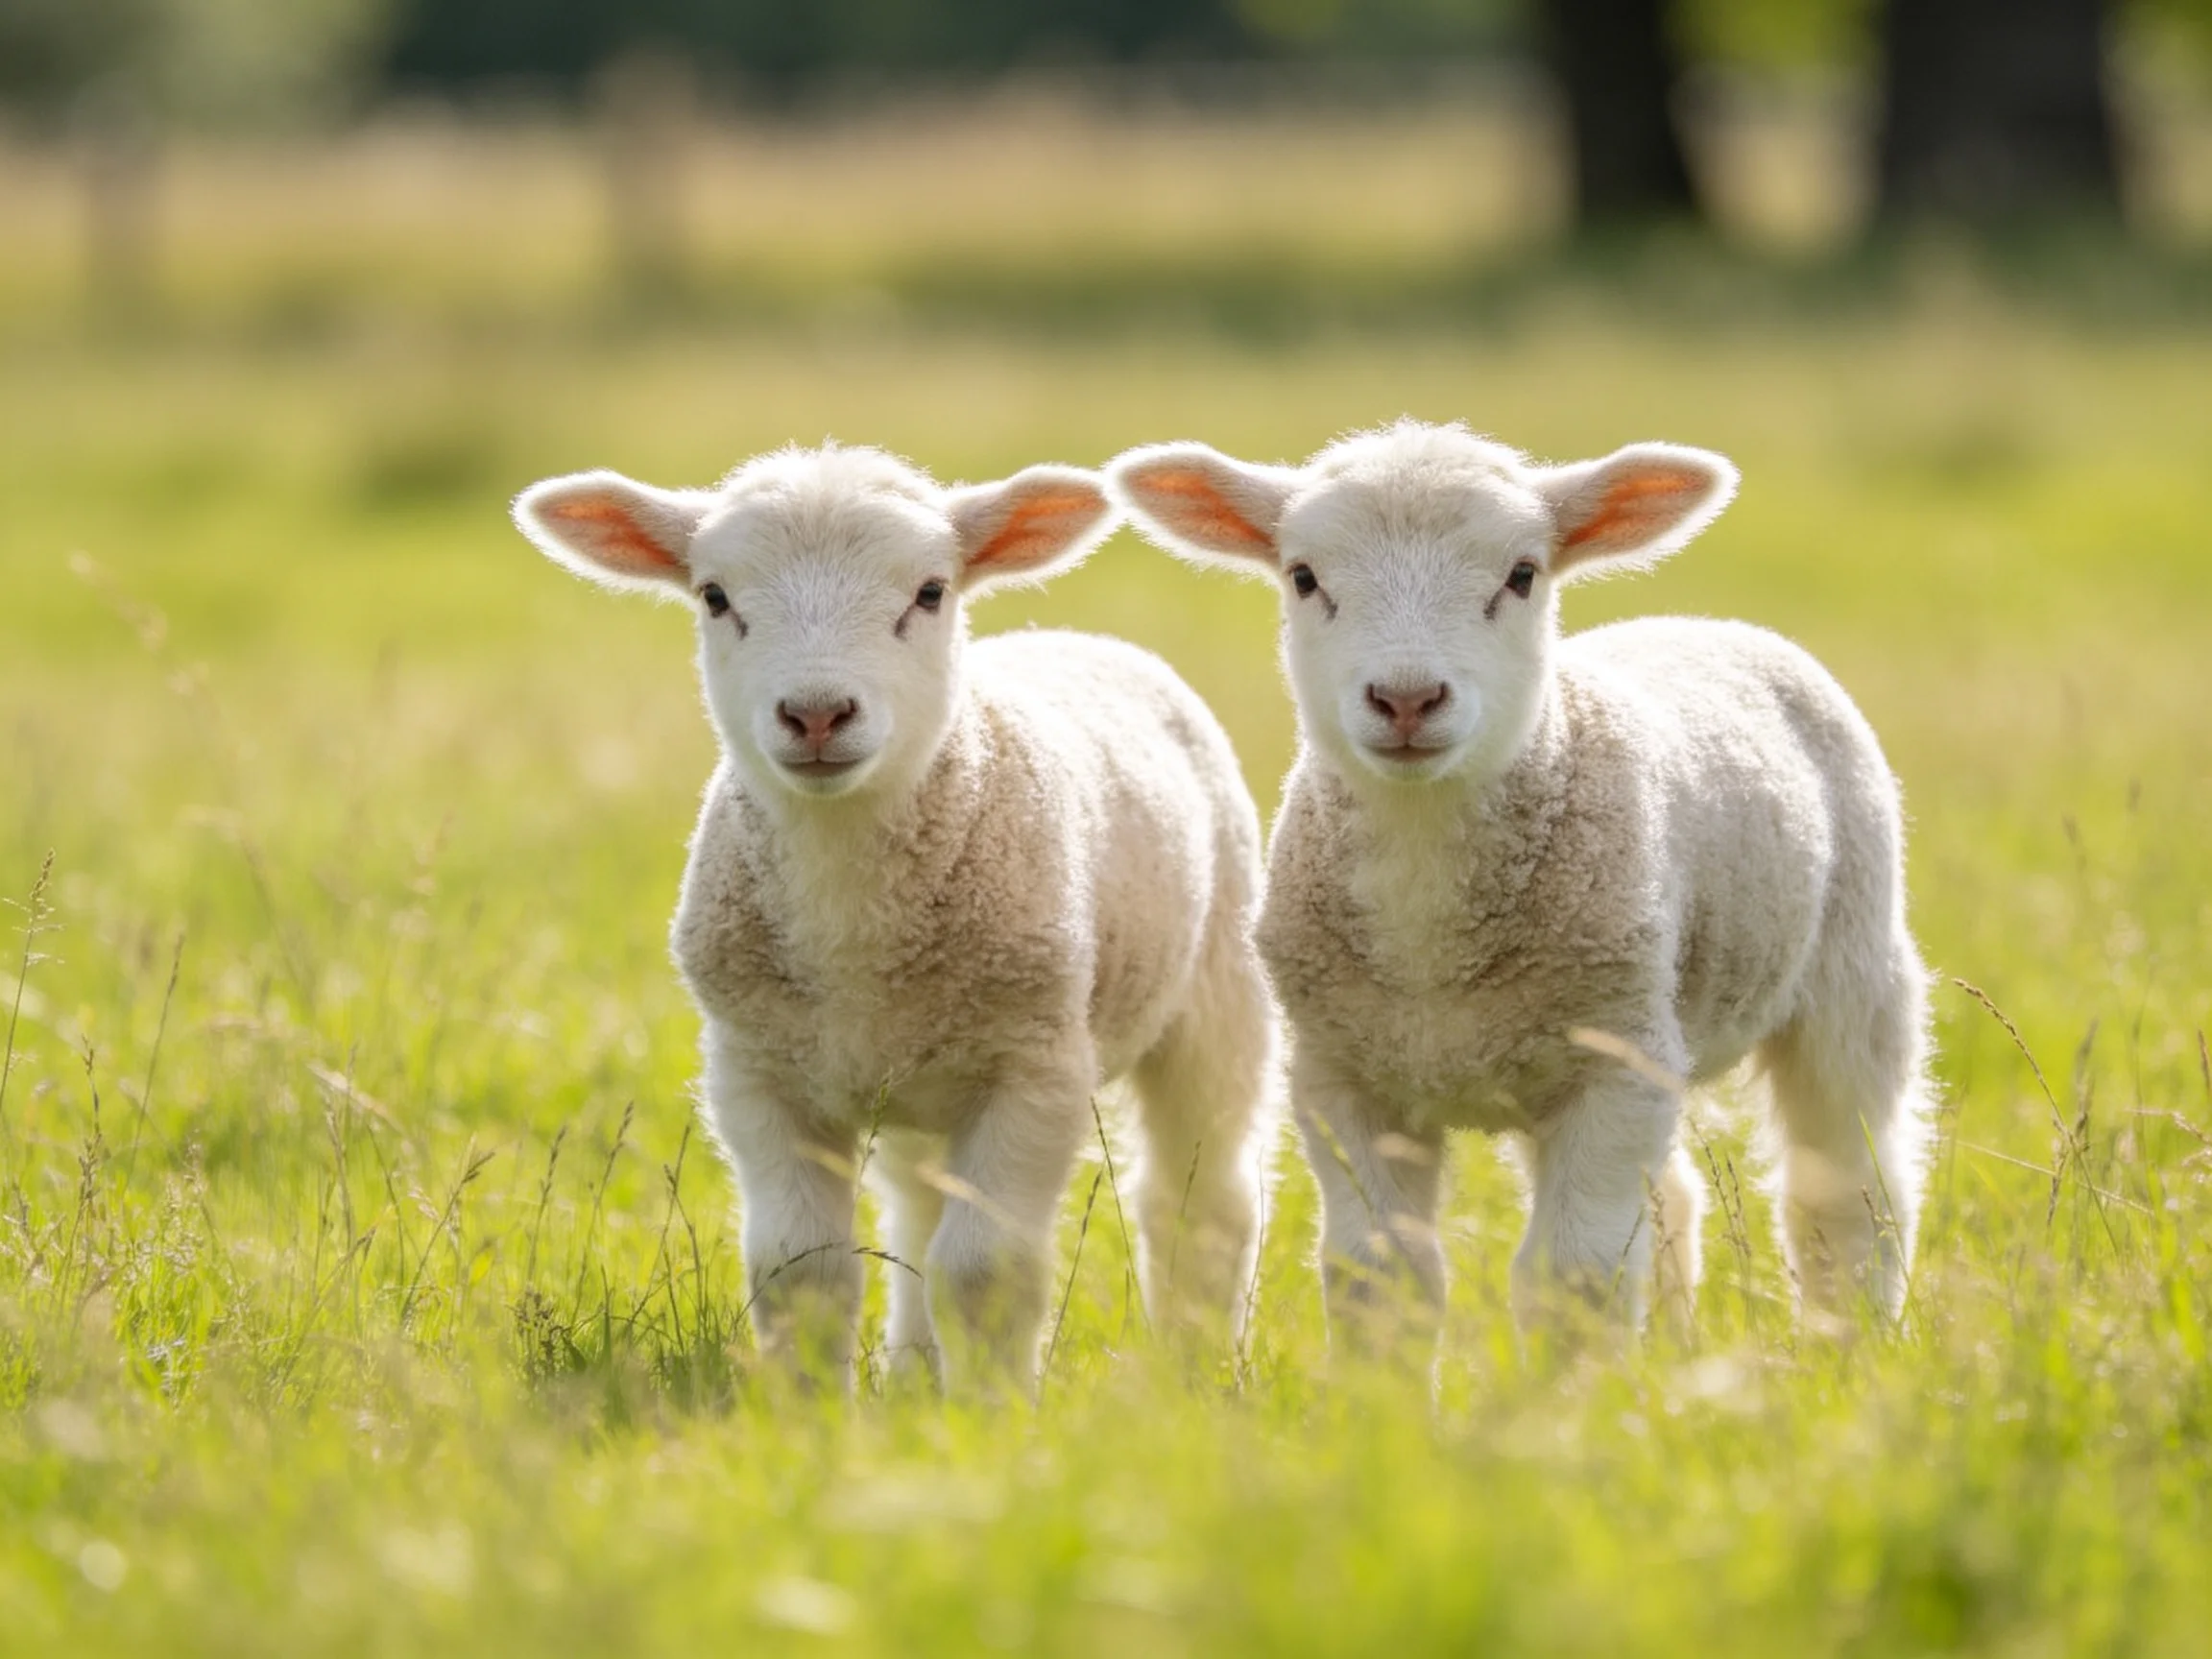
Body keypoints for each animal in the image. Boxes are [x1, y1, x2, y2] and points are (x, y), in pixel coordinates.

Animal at [513, 443, 1277, 1391]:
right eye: (715, 596)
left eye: (930, 591)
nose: (816, 713)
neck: (855, 925)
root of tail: (1070, 637)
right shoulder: (756, 1071)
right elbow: (801, 1268)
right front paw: (810, 1407)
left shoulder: (1035, 1067)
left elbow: (986, 1269)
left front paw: (993, 1409)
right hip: (918, 1079)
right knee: (919, 1211)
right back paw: (916, 1371)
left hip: (1216, 992)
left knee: (1199, 1198)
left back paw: (1196, 1365)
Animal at [1109, 421, 1932, 1349]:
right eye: (1304, 577)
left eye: (1522, 574)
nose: (1406, 699)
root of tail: (1704, 623)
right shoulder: (1342, 1077)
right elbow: (1382, 1277)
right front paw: (1383, 1387)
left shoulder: (1612, 1065)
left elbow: (1574, 1279)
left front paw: (1570, 1387)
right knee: (1680, 1199)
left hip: (1849, 970)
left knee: (1847, 1193)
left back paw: (1849, 1342)